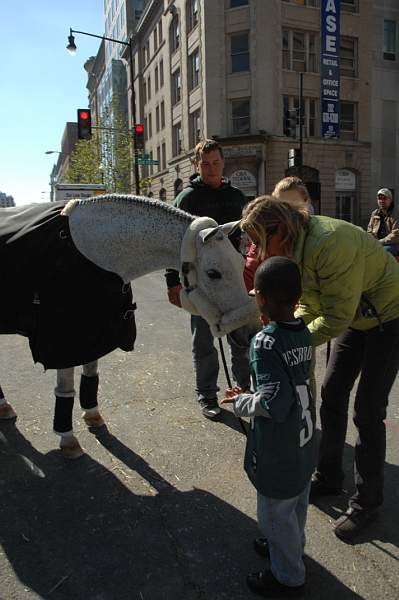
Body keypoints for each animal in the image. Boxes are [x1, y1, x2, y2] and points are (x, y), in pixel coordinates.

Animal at [0, 195, 258, 458]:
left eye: (241, 262)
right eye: (213, 273)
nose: (249, 330)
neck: (90, 253)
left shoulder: (94, 332)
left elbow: (90, 373)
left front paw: (92, 415)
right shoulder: (65, 341)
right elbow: (65, 388)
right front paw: (68, 439)